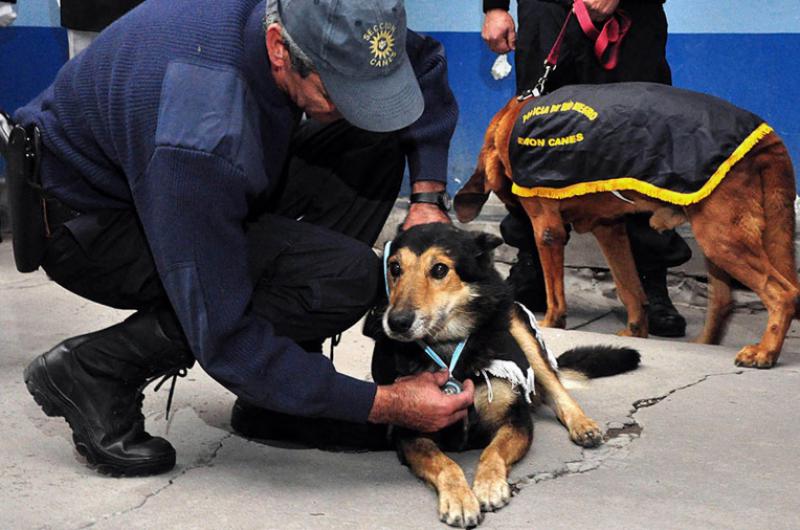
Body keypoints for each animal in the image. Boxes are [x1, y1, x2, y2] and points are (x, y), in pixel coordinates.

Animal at [372, 222, 640, 524]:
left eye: (440, 269)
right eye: (394, 268)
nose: (396, 322)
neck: (450, 347)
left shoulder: (516, 421)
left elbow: (493, 452)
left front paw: (488, 486)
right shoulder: (410, 432)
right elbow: (445, 463)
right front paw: (460, 498)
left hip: (521, 331)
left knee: (556, 387)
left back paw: (582, 424)